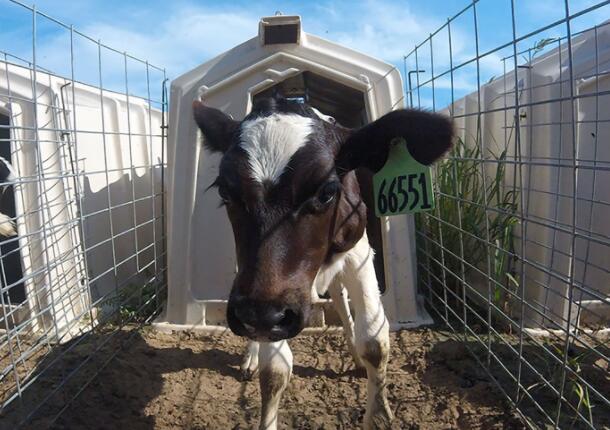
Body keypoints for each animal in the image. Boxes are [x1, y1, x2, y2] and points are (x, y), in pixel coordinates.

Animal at [191, 98, 452, 430]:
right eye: (225, 191)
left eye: (327, 192)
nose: (258, 316)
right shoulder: (265, 297)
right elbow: (274, 371)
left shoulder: (359, 252)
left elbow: (374, 342)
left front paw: (378, 413)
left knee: (341, 299)